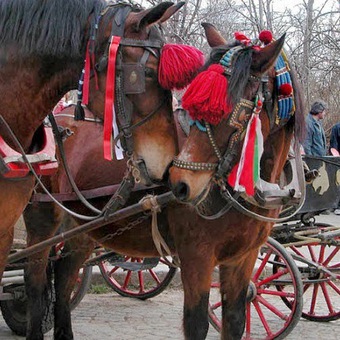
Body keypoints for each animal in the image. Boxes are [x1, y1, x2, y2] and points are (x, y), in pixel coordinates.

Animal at [169, 25, 306, 338]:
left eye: (230, 111)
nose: (180, 184)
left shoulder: (243, 257)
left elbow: (235, 318)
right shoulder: (196, 257)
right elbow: (196, 323)